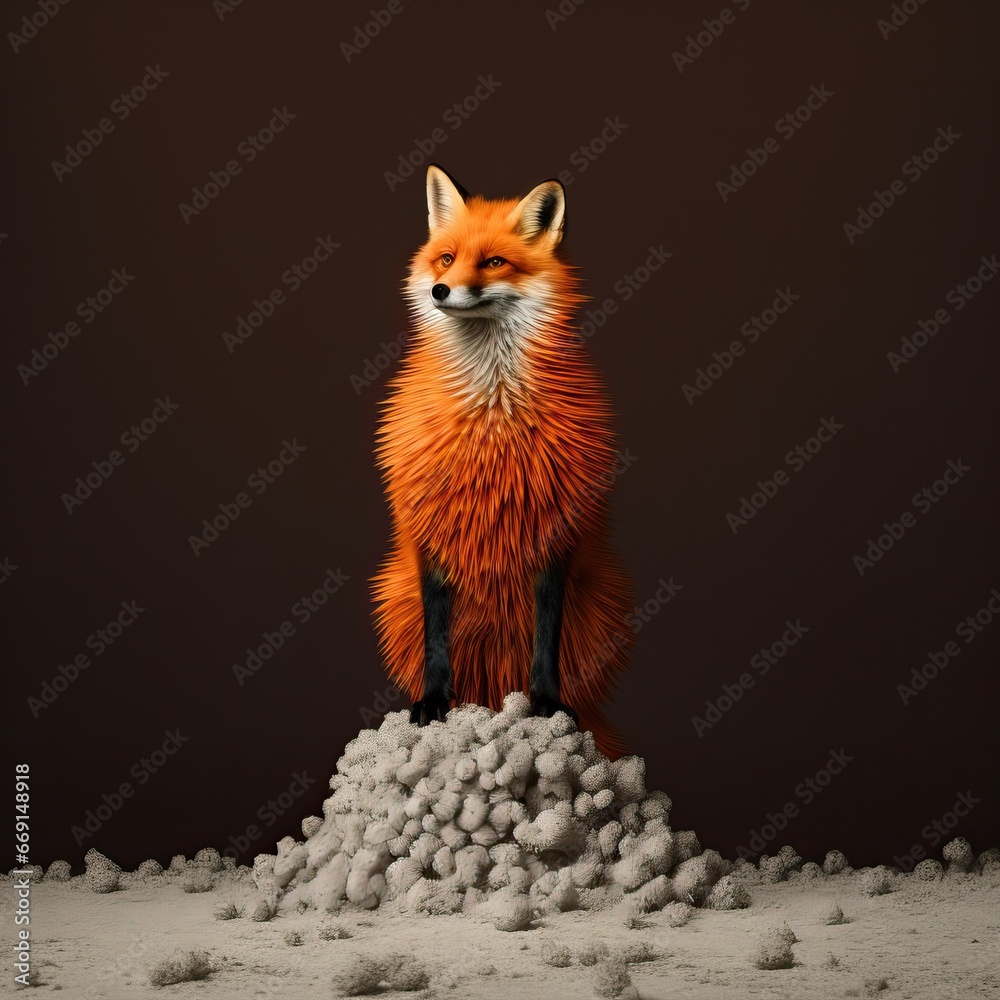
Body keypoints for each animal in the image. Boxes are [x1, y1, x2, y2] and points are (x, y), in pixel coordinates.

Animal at [369, 164, 635, 759]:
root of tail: (491, 693)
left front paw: (546, 705)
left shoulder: (554, 532)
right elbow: (437, 637)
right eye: (446, 259)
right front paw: (433, 702)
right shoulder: (432, 528)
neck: (492, 417)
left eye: (493, 262)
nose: (441, 289)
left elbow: (546, 636)